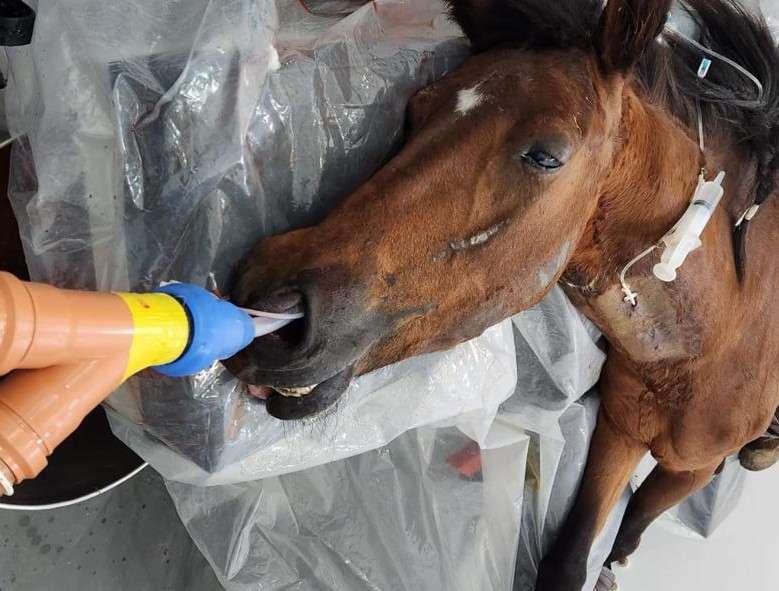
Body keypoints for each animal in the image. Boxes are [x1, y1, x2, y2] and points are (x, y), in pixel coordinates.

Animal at [227, 2, 779, 588]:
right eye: (415, 111)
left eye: (546, 156)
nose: (271, 294)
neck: (712, 335)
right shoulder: (620, 427)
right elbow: (569, 557)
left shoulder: (689, 468)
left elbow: (631, 525)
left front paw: (614, 563)